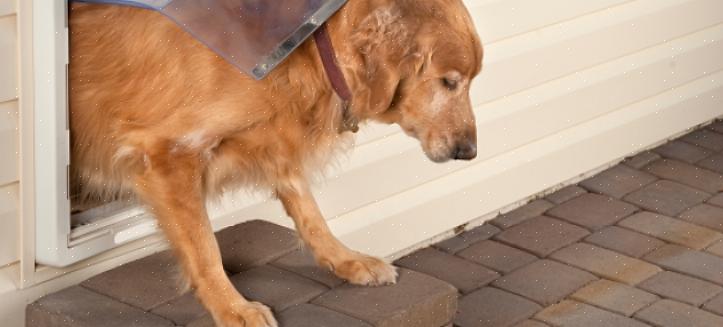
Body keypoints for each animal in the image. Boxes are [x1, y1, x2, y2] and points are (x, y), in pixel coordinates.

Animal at [69, 0, 480, 326]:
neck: (309, 48)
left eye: (471, 80)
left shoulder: (276, 141)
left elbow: (311, 214)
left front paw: (347, 260)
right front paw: (232, 307)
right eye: (449, 82)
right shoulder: (167, 152)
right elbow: (204, 248)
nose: (470, 151)